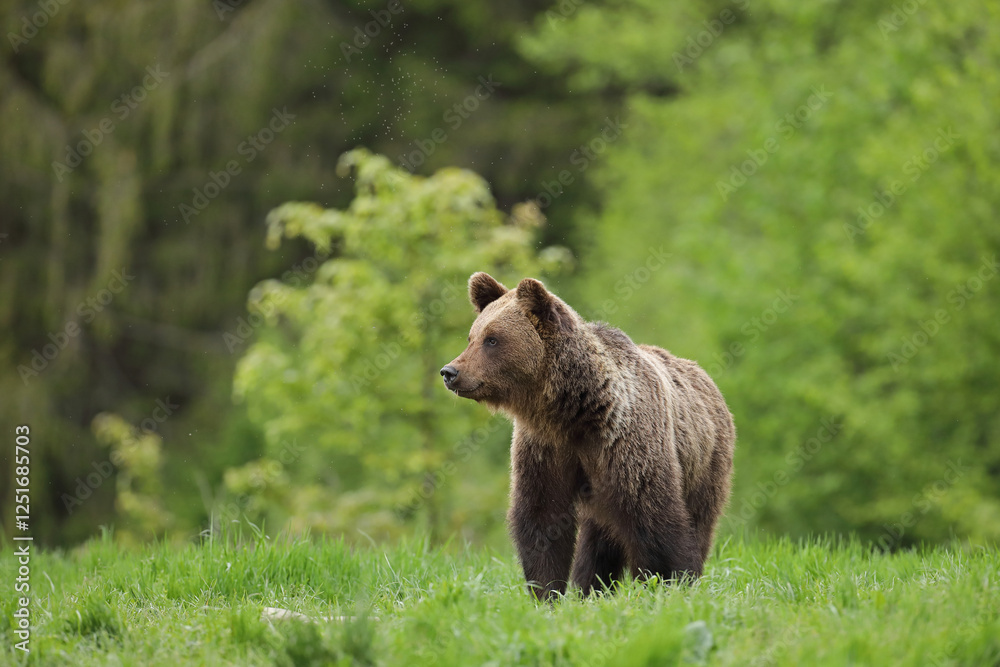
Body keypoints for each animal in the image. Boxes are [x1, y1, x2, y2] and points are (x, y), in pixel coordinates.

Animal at [441, 272, 735, 600]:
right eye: (472, 337)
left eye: (492, 339)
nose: (450, 372)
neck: (573, 411)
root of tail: (706, 379)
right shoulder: (545, 447)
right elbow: (542, 518)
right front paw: (546, 592)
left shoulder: (624, 444)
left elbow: (653, 517)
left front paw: (666, 582)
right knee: (598, 538)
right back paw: (592, 588)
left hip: (704, 462)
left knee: (698, 519)